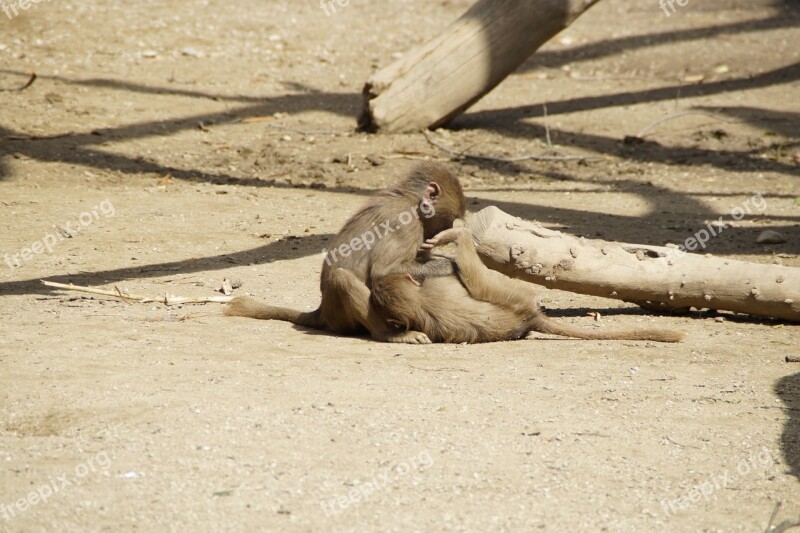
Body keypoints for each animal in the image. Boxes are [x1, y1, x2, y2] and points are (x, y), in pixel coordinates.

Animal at [372, 227, 684, 342]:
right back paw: (458, 234)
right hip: (514, 296)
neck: (417, 302)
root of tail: (530, 317)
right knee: (478, 280)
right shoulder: (439, 289)